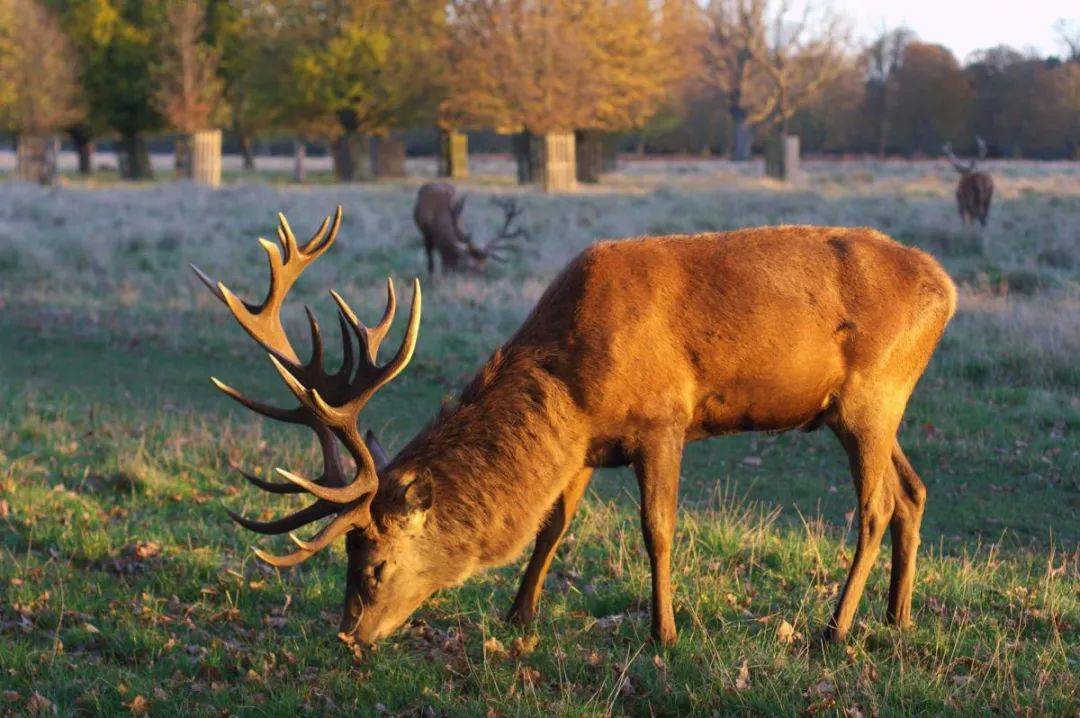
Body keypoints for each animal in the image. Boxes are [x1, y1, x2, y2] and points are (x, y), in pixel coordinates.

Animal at [192, 206, 954, 643]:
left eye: (374, 564)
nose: (349, 636)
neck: (572, 381)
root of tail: (945, 290)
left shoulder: (664, 418)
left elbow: (657, 529)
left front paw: (664, 633)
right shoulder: (586, 445)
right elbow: (551, 526)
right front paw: (519, 616)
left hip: (871, 397)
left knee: (876, 505)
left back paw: (836, 626)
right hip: (871, 408)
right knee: (914, 492)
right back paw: (897, 616)